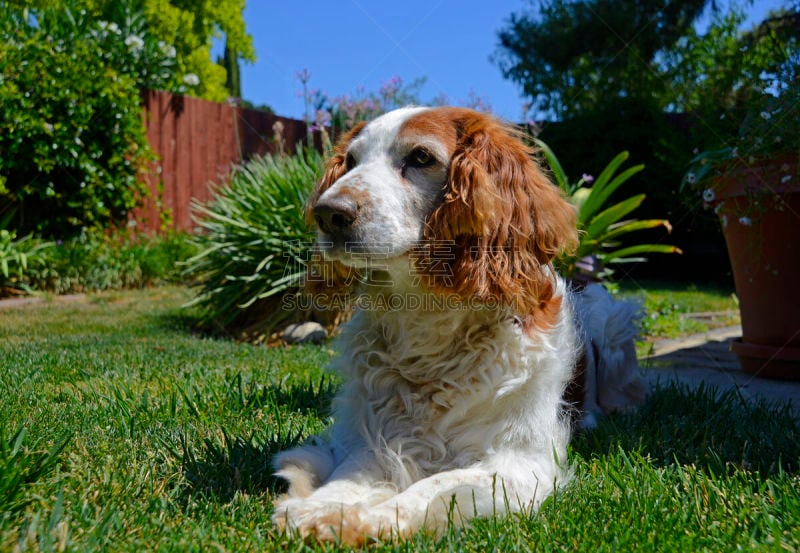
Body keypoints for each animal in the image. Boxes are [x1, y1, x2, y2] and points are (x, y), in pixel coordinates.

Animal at [272, 105, 648, 540]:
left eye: (421, 157)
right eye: (350, 161)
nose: (328, 213)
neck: (428, 320)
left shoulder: (520, 464)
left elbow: (433, 485)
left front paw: (374, 519)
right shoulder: (377, 434)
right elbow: (354, 473)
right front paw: (319, 507)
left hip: (613, 317)